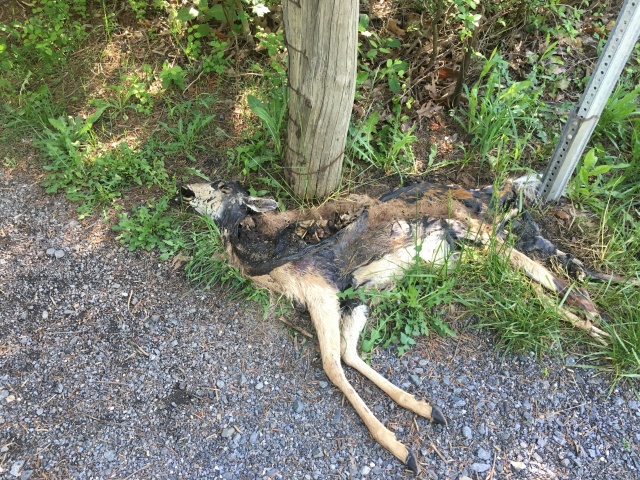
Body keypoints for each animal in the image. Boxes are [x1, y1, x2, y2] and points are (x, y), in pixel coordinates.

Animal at [179, 177, 617, 473]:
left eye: (221, 185)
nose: (184, 189)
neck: (260, 255)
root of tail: (477, 190)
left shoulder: (321, 289)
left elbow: (331, 365)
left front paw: (398, 447)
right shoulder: (350, 294)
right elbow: (346, 355)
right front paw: (420, 413)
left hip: (474, 231)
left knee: (535, 270)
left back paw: (597, 320)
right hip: (461, 253)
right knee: (522, 281)